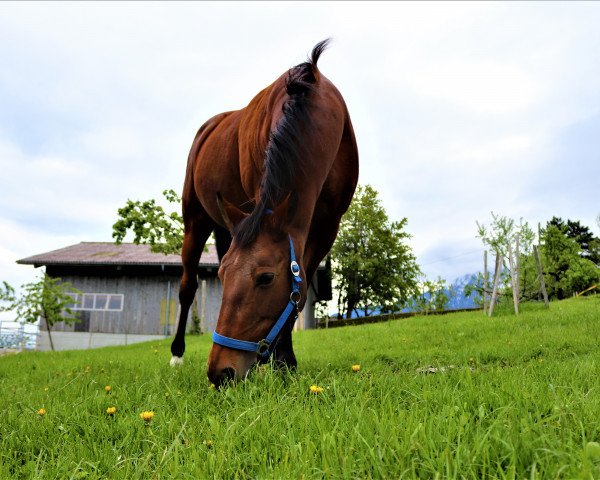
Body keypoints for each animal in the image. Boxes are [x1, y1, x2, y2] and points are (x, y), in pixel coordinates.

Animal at [169, 39, 358, 388]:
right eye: (221, 277)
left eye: (266, 278)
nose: (220, 373)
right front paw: (279, 360)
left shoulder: (327, 225)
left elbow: (300, 287)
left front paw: (284, 361)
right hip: (195, 221)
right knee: (187, 288)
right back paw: (176, 355)